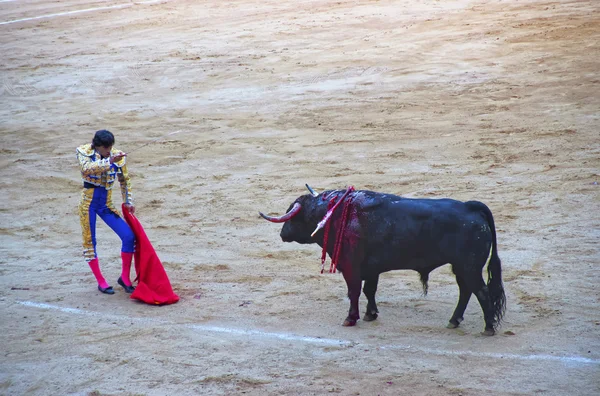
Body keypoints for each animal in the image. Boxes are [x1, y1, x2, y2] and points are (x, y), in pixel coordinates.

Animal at [258, 186, 506, 334]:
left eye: (293, 216)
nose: (282, 234)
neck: (335, 214)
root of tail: (470, 206)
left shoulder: (351, 267)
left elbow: (354, 291)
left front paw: (351, 318)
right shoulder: (371, 269)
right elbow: (370, 290)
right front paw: (371, 314)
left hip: (469, 266)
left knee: (481, 292)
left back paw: (488, 327)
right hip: (462, 267)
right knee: (466, 290)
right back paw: (454, 320)